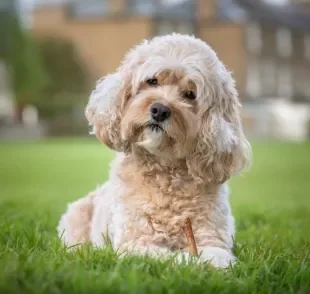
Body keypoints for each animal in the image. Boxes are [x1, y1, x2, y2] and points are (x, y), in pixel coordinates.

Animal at [58, 33, 251, 268]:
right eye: (152, 81)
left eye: (190, 94)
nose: (160, 110)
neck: (166, 171)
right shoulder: (136, 243)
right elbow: (174, 257)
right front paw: (189, 261)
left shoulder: (214, 241)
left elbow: (213, 257)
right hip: (74, 221)